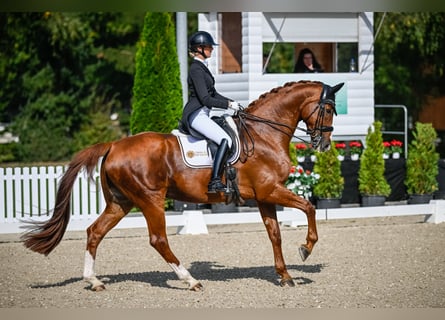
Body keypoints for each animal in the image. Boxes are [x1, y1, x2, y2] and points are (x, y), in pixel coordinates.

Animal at [20, 79, 344, 290]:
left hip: (121, 202)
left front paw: (285, 275)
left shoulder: (264, 196)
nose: (325, 144)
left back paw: (94, 281)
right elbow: (309, 207)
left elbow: (274, 234)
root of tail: (113, 145)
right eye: (328, 110)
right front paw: (306, 248)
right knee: (158, 240)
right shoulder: (270, 190)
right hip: (150, 199)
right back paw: (190, 280)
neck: (264, 134)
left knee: (94, 232)